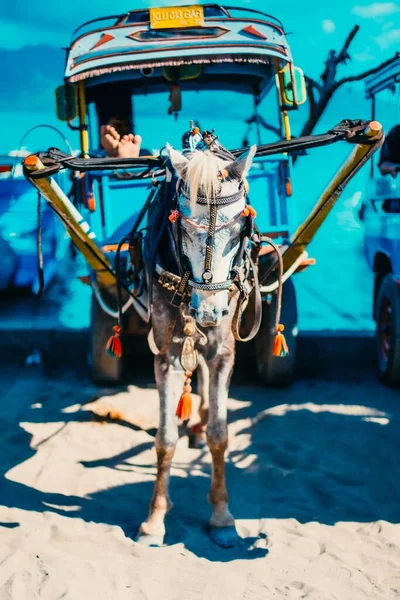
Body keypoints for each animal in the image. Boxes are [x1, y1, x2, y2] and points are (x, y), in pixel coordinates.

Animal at [138, 141, 260, 548]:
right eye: (183, 228)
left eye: (240, 231)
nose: (210, 310)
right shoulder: (166, 353)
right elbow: (164, 438)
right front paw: (155, 517)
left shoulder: (223, 349)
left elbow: (220, 435)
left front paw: (221, 515)